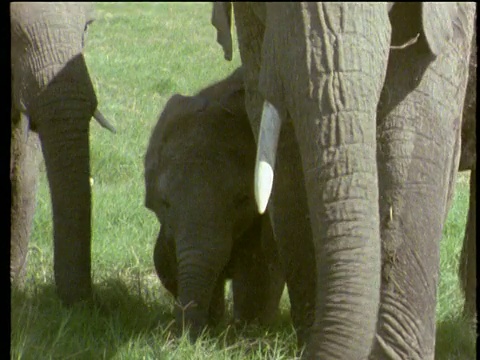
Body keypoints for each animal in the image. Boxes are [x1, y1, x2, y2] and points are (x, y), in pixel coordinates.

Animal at [143, 68, 284, 340]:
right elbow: (164, 260)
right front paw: (211, 323)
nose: (187, 338)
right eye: (165, 204)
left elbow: (258, 273)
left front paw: (245, 333)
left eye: (241, 200)